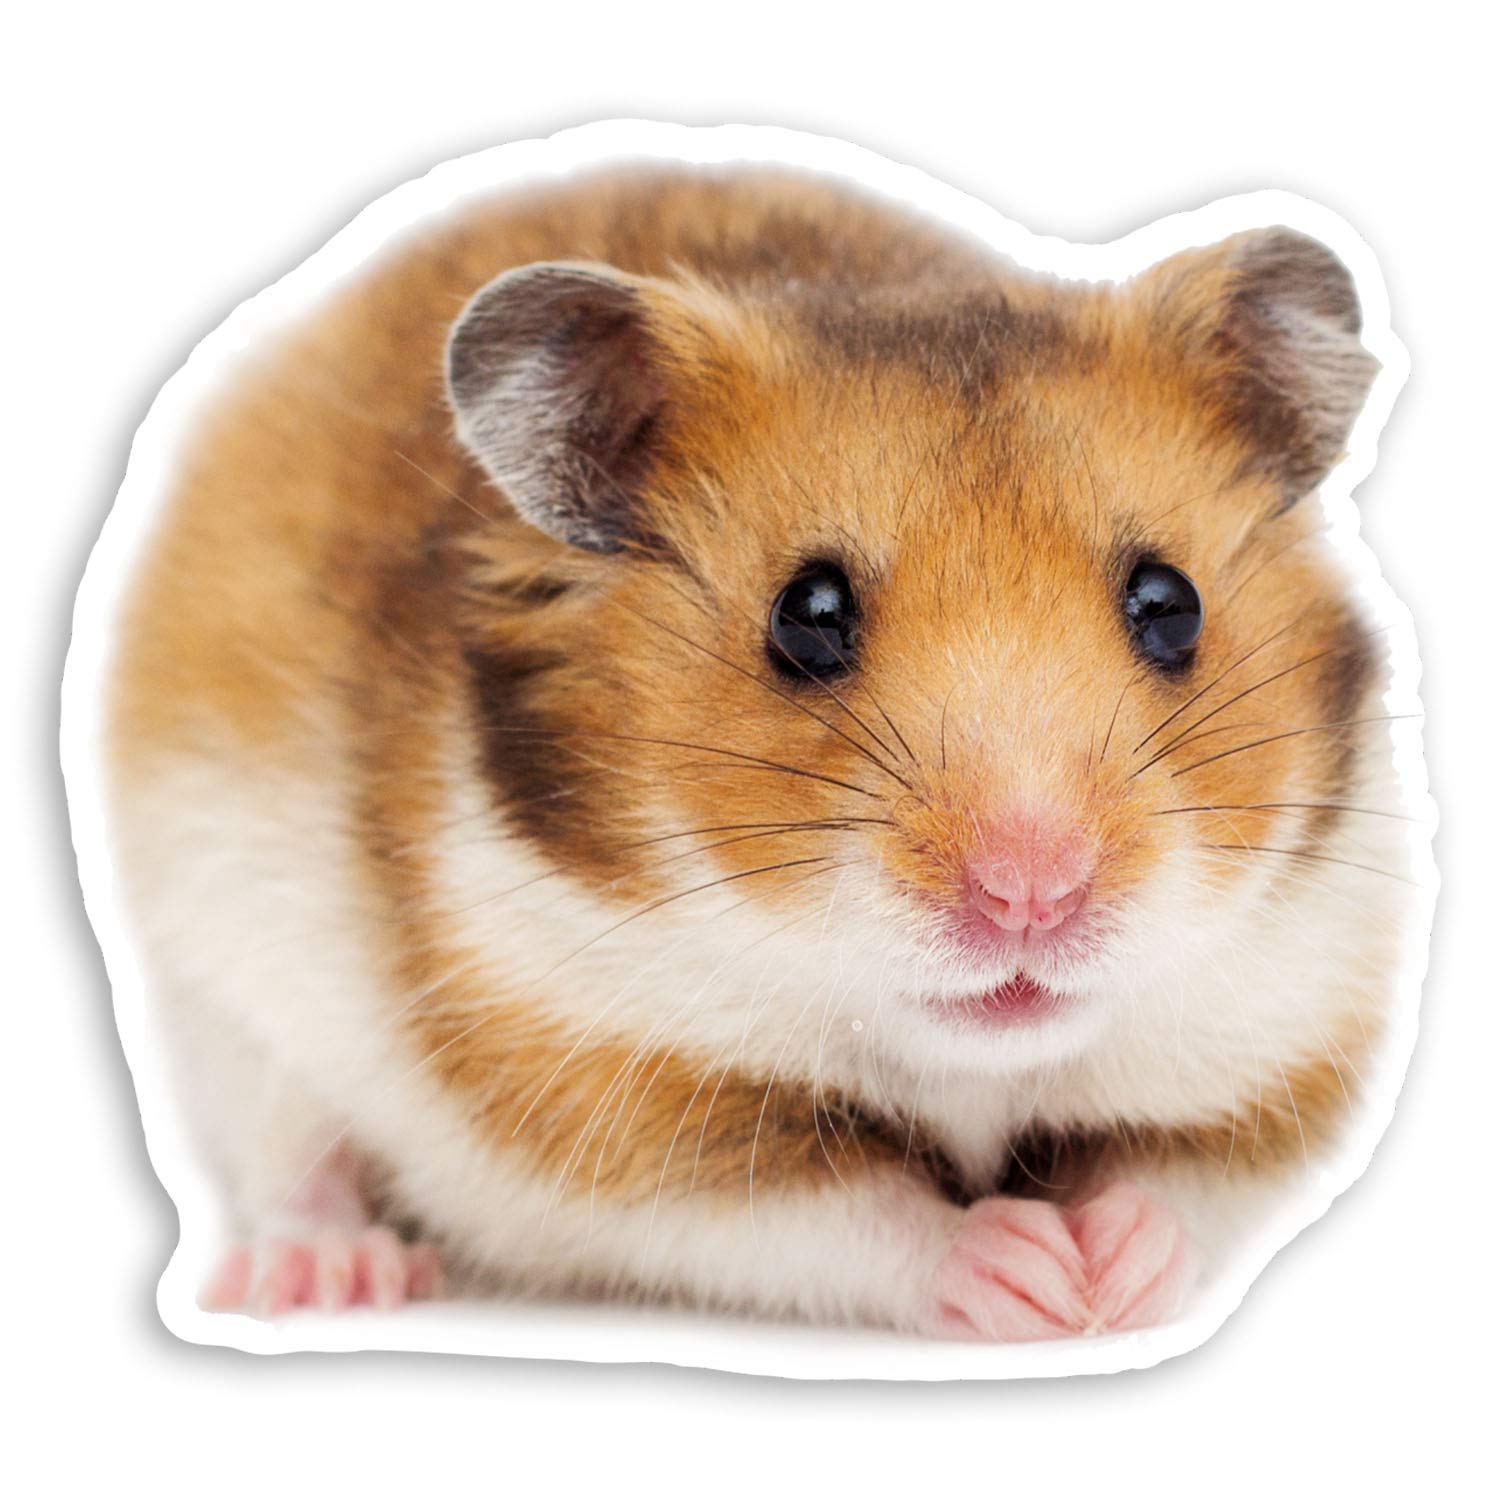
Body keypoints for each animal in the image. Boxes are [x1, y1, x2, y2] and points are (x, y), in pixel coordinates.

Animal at [104, 163, 1414, 1339]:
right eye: (808, 615)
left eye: (1170, 604)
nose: (1031, 894)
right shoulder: (605, 1107)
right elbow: (850, 1216)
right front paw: (1032, 1274)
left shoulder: (1284, 1043)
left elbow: (1183, 1183)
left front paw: (1111, 1272)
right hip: (222, 986)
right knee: (292, 1154)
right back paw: (332, 1276)